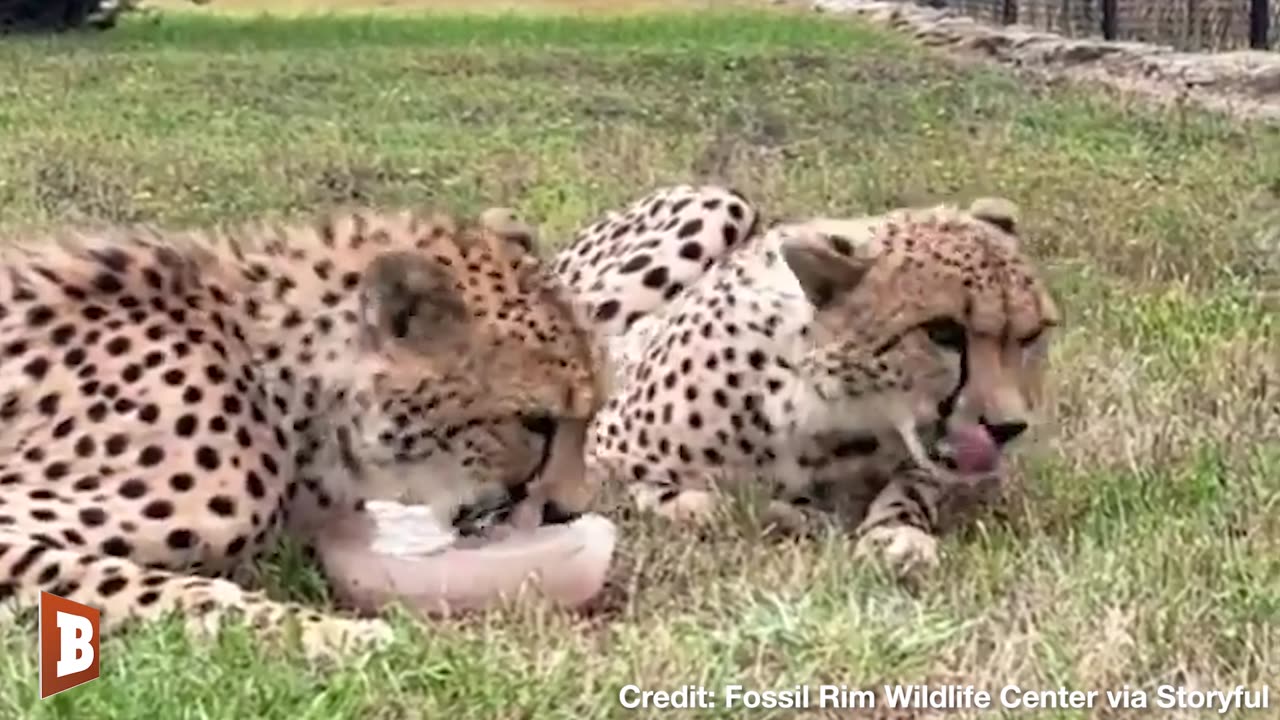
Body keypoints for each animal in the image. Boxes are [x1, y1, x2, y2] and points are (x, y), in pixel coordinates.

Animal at [570, 184, 1059, 571]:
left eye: (1032, 335)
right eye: (942, 332)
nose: (1007, 428)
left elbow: (915, 485)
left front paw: (896, 533)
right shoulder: (600, 453)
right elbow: (698, 502)